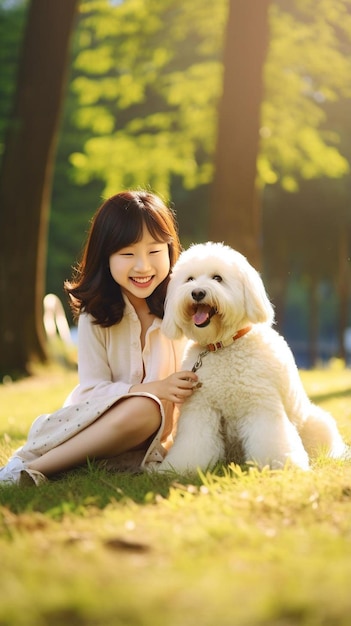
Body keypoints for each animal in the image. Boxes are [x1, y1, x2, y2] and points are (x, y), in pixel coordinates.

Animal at [157, 241, 346, 470]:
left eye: (217, 278)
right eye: (190, 279)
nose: (197, 293)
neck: (223, 345)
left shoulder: (260, 405)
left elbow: (270, 440)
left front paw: (279, 466)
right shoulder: (200, 408)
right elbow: (194, 442)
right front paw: (179, 468)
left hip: (318, 423)